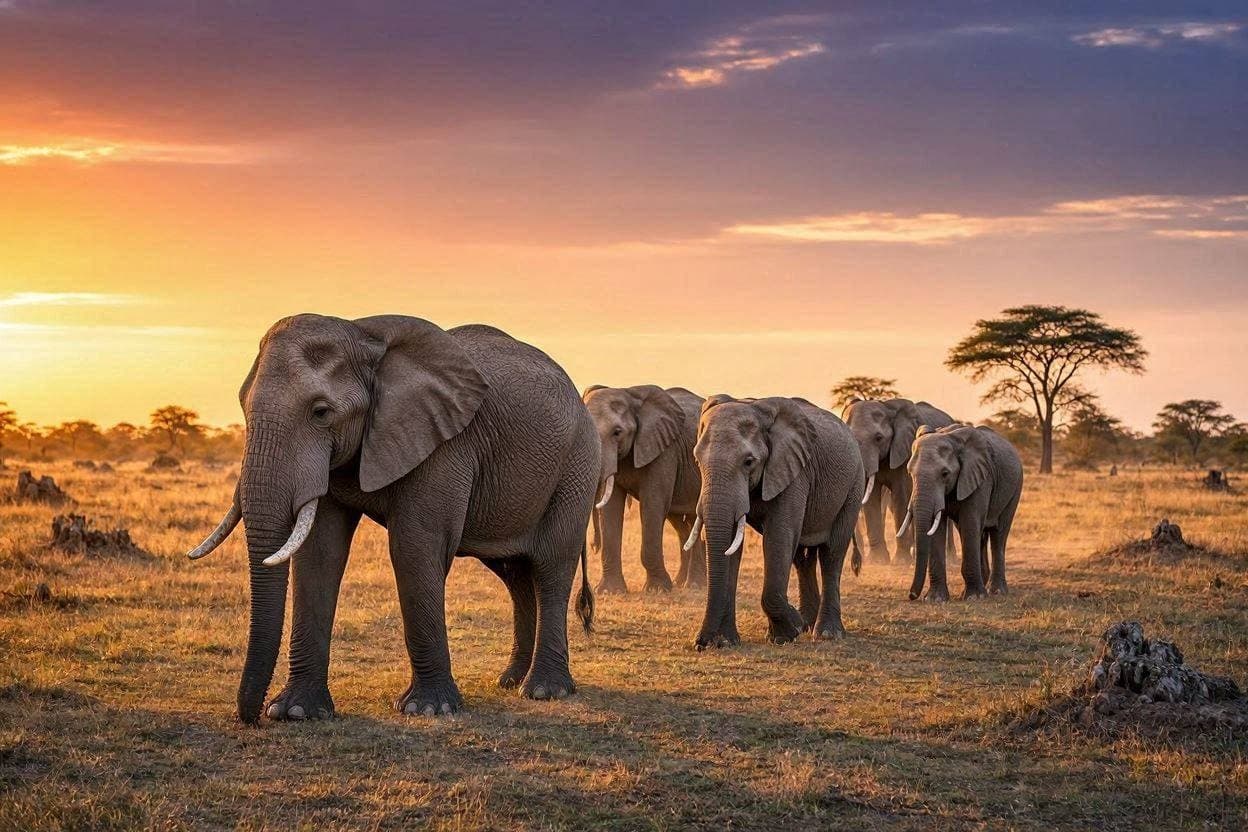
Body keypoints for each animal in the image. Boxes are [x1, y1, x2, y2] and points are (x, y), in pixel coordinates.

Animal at [186, 314, 598, 723]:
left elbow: (414, 549)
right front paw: (295, 712)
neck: (363, 335)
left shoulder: (444, 444)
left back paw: (544, 690)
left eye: (321, 412)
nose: (251, 717)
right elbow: (319, 554)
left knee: (551, 566)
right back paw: (510, 682)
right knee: (515, 574)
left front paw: (427, 709)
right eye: (243, 406)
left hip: (576, 468)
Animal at [582, 385, 705, 594]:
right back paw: (682, 583)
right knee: (682, 524)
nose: (593, 545)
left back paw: (695, 586)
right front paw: (609, 591)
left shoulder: (664, 450)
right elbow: (610, 509)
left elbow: (652, 505)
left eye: (617, 432)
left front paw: (658, 590)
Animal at [687, 396, 864, 648]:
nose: (700, 644)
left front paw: (789, 631)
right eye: (697, 460)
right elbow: (733, 545)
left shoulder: (794, 472)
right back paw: (808, 624)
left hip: (854, 485)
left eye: (748, 462)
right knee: (803, 557)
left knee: (832, 553)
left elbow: (779, 537)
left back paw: (825, 633)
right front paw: (728, 642)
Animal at [842, 398, 954, 565]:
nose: (856, 563)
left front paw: (900, 561)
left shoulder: (905, 452)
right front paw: (877, 561)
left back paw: (950, 558)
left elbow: (900, 496)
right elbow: (872, 499)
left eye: (878, 438)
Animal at [902, 424, 1023, 602]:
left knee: (998, 534)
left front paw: (974, 598)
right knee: (979, 535)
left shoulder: (980, 479)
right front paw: (935, 599)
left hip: (1015, 488)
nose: (912, 595)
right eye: (910, 473)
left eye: (945, 474)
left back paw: (996, 591)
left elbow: (970, 523)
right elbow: (938, 529)